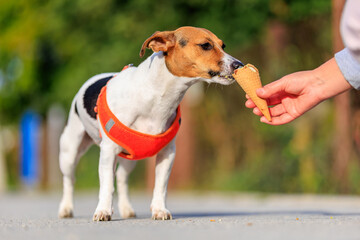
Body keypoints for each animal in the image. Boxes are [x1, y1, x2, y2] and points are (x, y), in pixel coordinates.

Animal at [58, 26, 245, 221]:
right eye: (205, 45)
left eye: (223, 45)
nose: (239, 64)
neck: (156, 96)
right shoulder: (108, 151)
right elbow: (107, 185)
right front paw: (103, 211)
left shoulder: (167, 153)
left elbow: (160, 186)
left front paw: (159, 210)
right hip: (69, 152)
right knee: (69, 180)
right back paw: (66, 208)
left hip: (130, 158)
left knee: (122, 178)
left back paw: (126, 209)